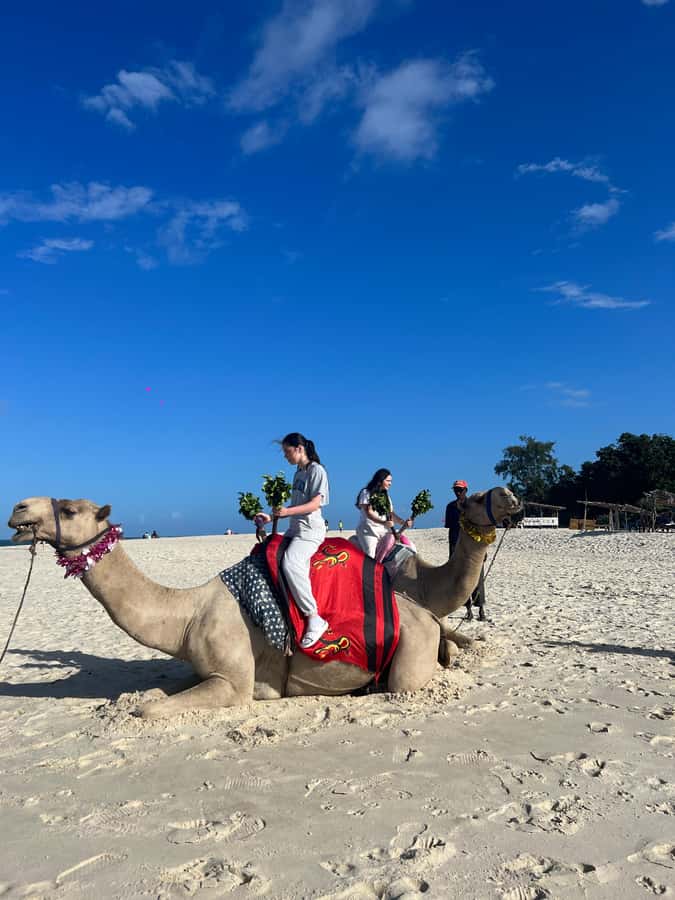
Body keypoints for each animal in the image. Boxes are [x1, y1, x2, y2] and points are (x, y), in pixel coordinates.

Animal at [7, 488, 521, 719]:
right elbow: (152, 697)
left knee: (408, 681)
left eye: (69, 509)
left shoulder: (232, 682)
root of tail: (422, 615)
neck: (186, 614)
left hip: (409, 655)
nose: (18, 508)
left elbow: (149, 710)